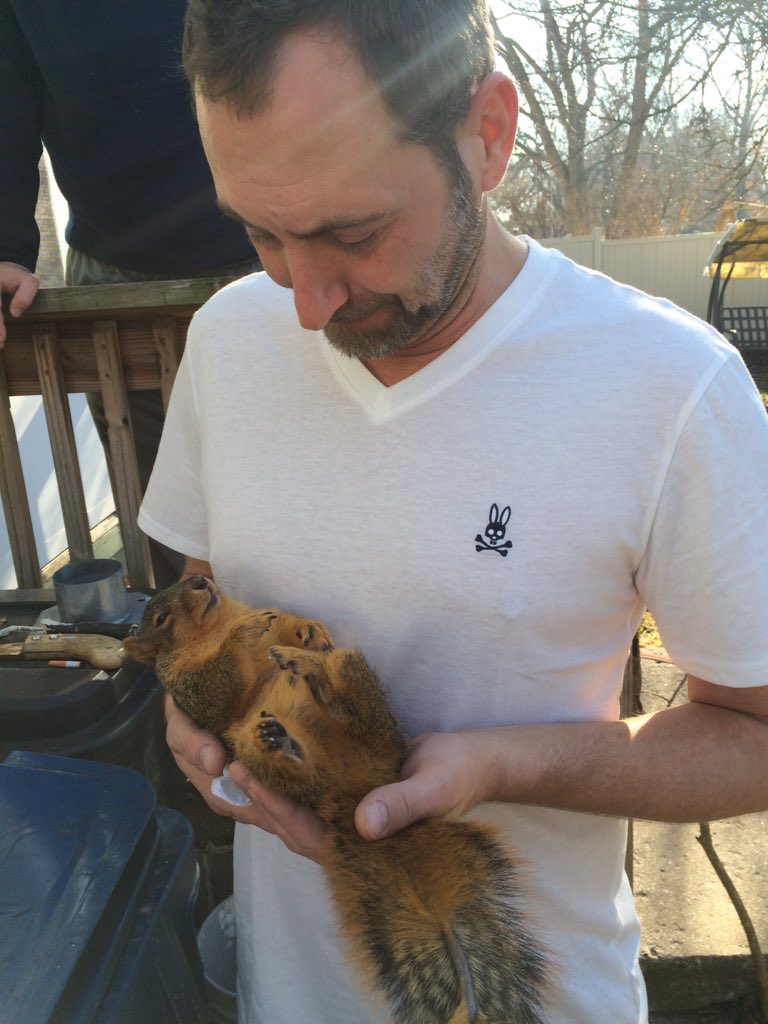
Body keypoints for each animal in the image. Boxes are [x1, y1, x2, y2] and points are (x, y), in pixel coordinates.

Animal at [124, 575, 549, 1024]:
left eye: (186, 586)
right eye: (161, 618)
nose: (200, 580)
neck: (219, 622)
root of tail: (355, 787)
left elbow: (285, 625)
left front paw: (308, 630)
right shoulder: (190, 690)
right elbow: (219, 686)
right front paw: (245, 635)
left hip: (365, 696)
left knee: (350, 692)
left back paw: (314, 671)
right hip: (251, 749)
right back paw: (284, 739)